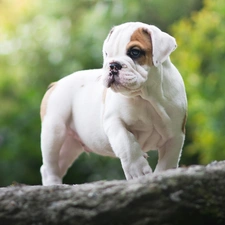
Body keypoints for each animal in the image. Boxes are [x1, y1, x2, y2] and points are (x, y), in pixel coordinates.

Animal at [40, 22, 186, 185]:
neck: (144, 97)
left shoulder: (175, 136)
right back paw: (52, 184)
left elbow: (167, 163)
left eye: (135, 52)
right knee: (49, 166)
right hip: (54, 132)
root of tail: (56, 84)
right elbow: (126, 142)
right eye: (107, 54)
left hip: (69, 145)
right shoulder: (114, 121)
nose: (113, 65)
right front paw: (137, 170)